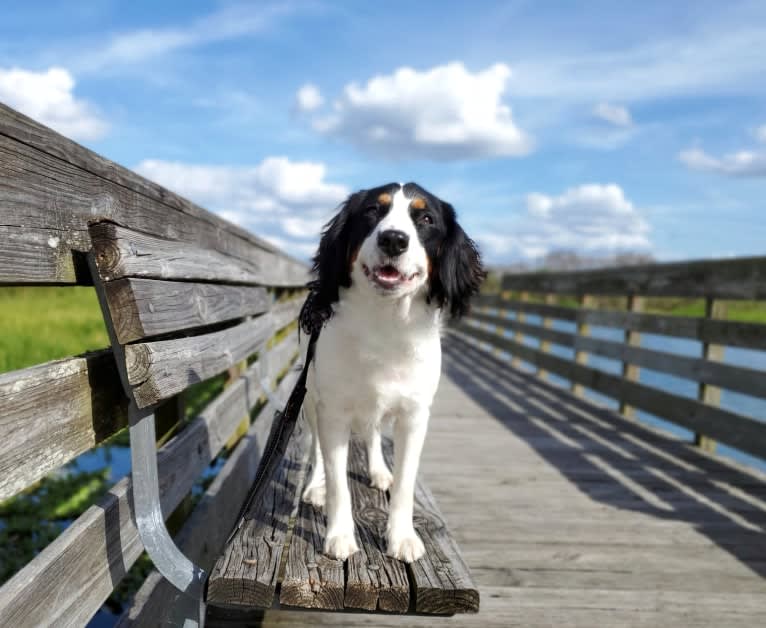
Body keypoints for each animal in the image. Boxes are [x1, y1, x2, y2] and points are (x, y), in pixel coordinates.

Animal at [296, 183, 484, 564]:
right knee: (316, 449)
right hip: (311, 401)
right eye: (372, 212)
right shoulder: (332, 411)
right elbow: (338, 481)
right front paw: (339, 535)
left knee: (371, 433)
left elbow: (405, 482)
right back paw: (315, 486)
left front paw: (402, 536)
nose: (394, 239)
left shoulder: (414, 416)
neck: (385, 323)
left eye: (425, 219)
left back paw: (379, 470)